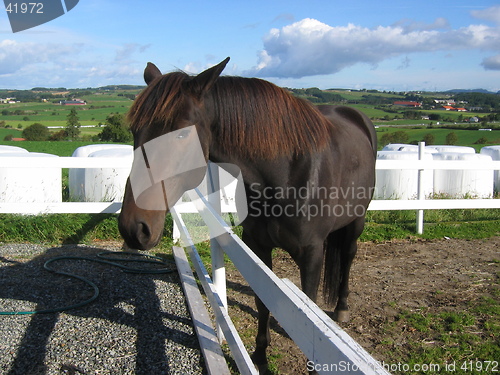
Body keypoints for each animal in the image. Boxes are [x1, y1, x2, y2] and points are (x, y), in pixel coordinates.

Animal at [117, 57, 376, 372]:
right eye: (135, 130)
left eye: (181, 132)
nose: (133, 227)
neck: (286, 175)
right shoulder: (258, 246)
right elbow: (264, 302)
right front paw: (260, 356)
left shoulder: (312, 254)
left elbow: (311, 320)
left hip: (356, 221)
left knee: (348, 256)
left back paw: (342, 308)